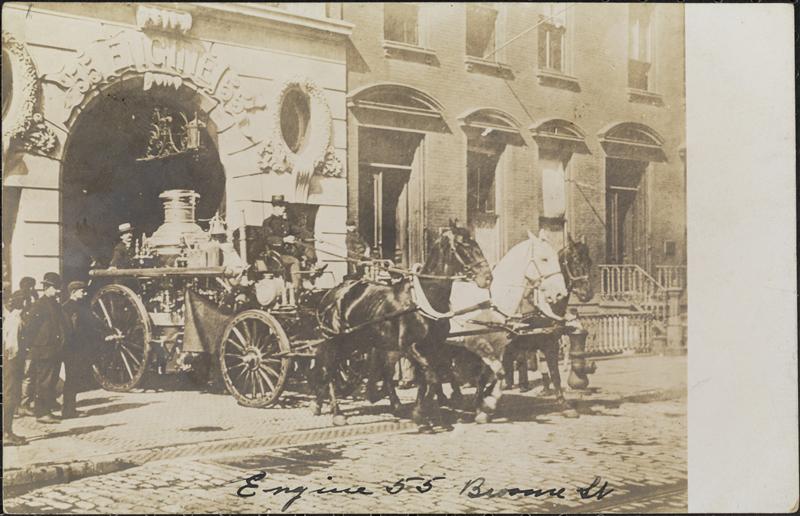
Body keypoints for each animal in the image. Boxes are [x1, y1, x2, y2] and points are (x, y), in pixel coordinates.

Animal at [310, 222, 492, 431]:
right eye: (463, 244)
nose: (488, 277)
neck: (424, 300)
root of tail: (330, 293)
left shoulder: (434, 348)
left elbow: (428, 381)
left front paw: (427, 414)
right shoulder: (410, 347)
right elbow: (432, 379)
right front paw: (421, 416)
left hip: (356, 343)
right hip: (336, 341)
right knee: (330, 371)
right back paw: (337, 413)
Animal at [438, 229, 569, 423]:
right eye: (544, 259)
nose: (560, 293)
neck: (493, 304)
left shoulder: (499, 347)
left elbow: (495, 375)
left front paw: (484, 406)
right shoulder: (476, 345)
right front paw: (484, 403)